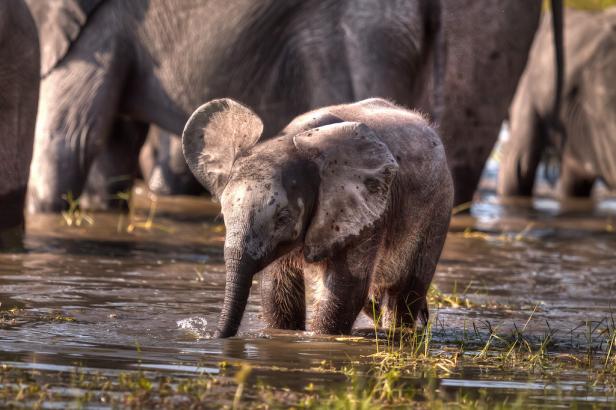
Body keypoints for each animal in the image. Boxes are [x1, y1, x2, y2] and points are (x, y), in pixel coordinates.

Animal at [183, 97, 452, 338]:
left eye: (283, 218)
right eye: (224, 213)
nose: (208, 336)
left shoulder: (368, 213)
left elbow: (345, 289)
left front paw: (319, 337)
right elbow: (278, 289)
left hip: (439, 209)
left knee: (405, 296)